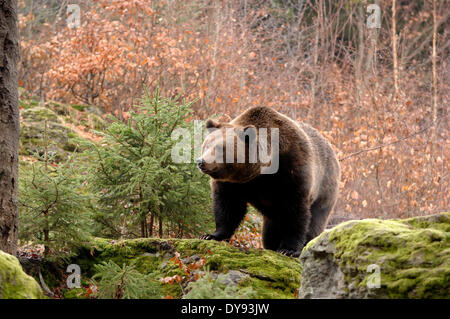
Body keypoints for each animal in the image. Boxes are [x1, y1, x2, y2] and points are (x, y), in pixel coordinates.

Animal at [195, 107, 340, 258]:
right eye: (206, 145)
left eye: (220, 148)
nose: (200, 161)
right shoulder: (233, 184)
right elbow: (228, 207)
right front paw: (211, 235)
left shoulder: (291, 173)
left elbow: (296, 212)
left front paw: (288, 249)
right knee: (270, 230)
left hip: (325, 189)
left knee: (315, 220)